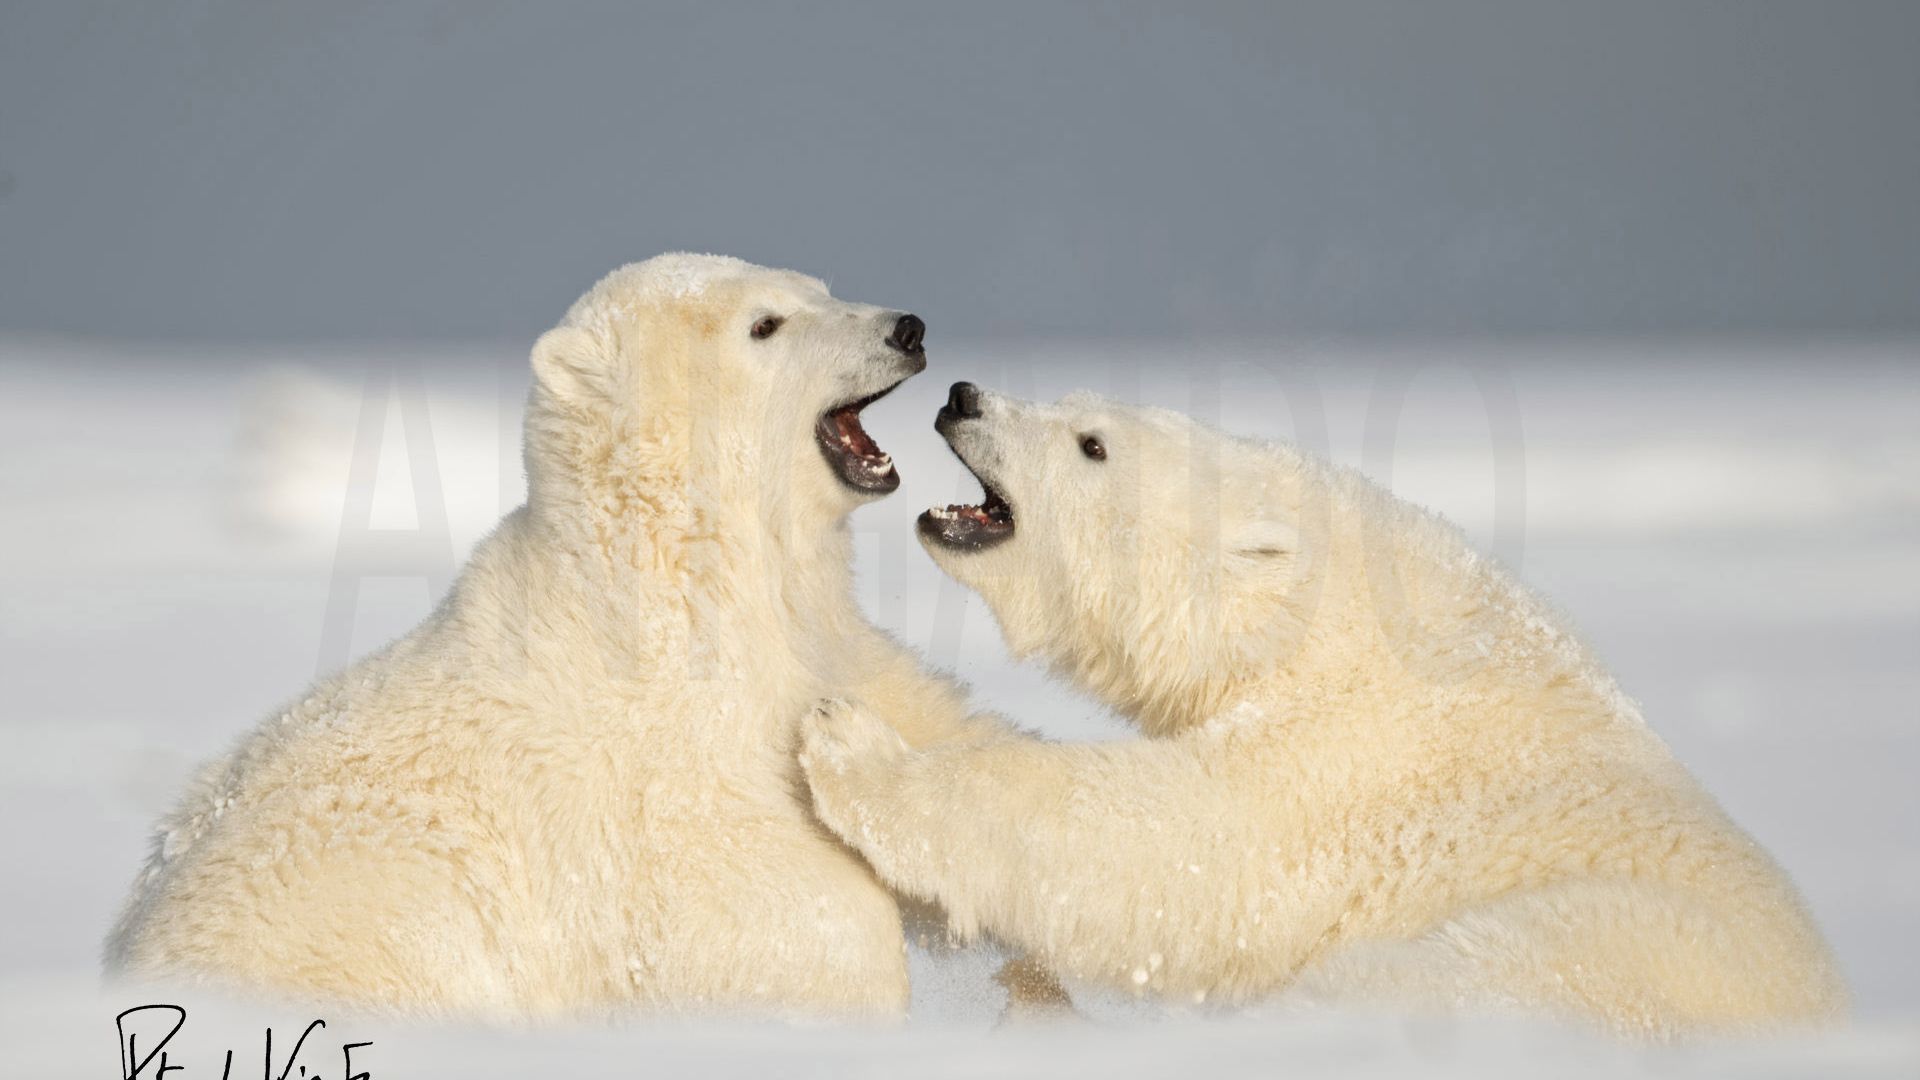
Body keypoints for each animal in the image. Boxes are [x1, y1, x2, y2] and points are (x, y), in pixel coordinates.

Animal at [105, 253, 1006, 1014]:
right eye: (766, 323)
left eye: (820, 287)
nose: (906, 328)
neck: (678, 574)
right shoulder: (665, 766)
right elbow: (771, 910)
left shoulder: (827, 636)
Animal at [802, 378, 1850, 1037]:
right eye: (1068, 405)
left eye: (1090, 442)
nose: (963, 395)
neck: (1324, 613)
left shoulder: (1350, 756)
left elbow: (1175, 843)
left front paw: (848, 743)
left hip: (1591, 949)